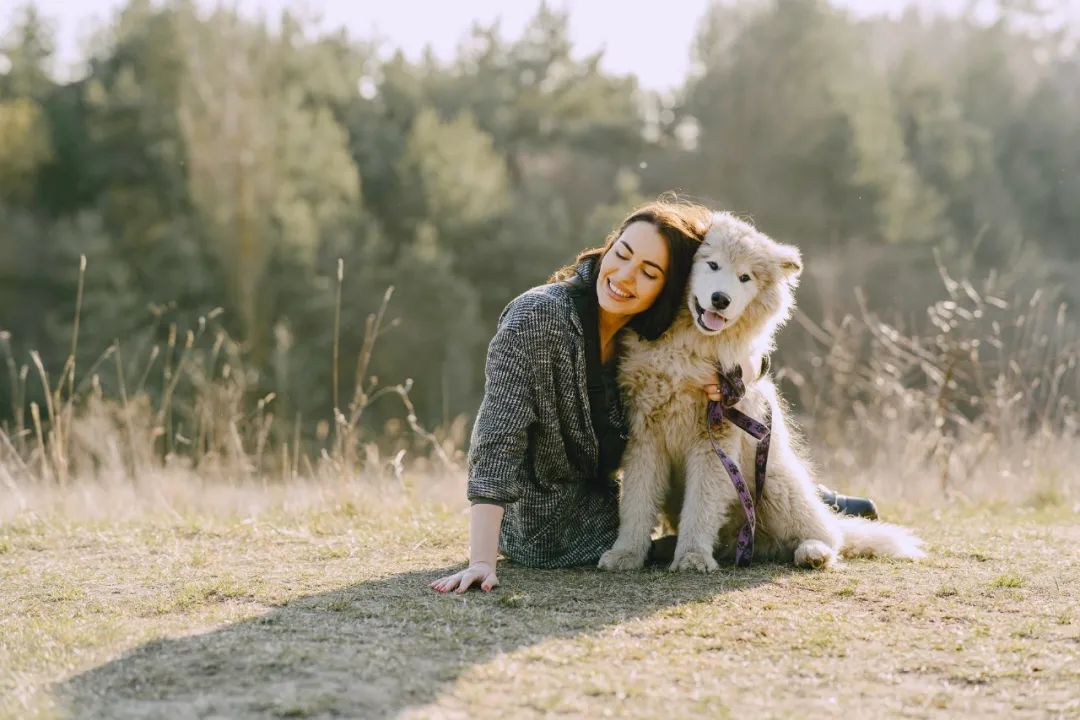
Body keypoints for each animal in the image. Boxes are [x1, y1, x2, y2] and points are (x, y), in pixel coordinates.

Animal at [596, 211, 924, 569]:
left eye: (745, 278)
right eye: (712, 265)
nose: (721, 299)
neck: (689, 345)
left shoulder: (715, 434)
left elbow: (700, 506)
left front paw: (693, 556)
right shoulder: (645, 435)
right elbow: (637, 503)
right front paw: (626, 553)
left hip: (776, 485)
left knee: (826, 535)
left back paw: (813, 552)